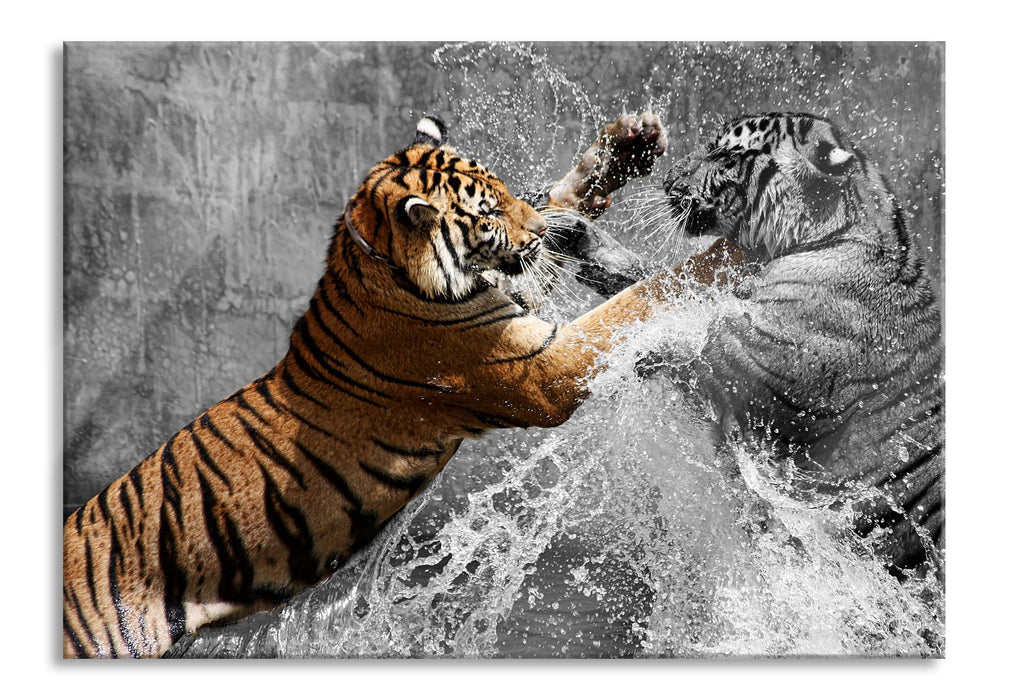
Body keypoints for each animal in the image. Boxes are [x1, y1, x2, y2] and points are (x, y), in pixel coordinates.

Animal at [63, 114, 745, 658]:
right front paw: (724, 257)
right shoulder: (541, 368)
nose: (535, 234)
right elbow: (636, 300)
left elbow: (559, 199)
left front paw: (629, 144)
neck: (378, 263)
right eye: (488, 213)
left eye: (504, 192)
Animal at [553, 112, 944, 577]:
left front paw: (621, 358)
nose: (667, 180)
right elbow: (660, 291)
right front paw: (580, 237)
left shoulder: (746, 366)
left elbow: (680, 335)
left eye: (726, 156)